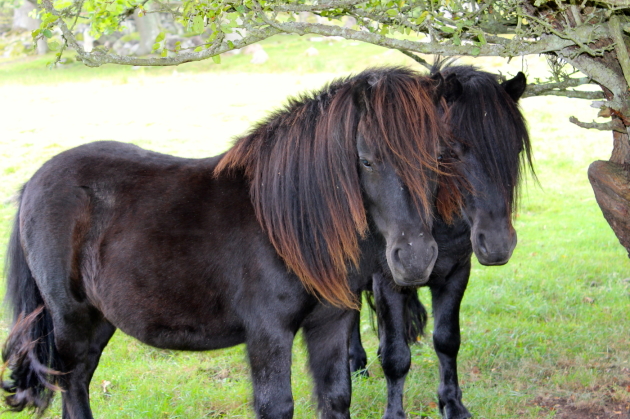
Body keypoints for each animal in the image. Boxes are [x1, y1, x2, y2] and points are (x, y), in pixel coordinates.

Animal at [0, 69, 456, 419]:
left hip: (99, 320)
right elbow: (277, 406)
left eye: (437, 156)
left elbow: (336, 398)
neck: (289, 226)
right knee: (72, 385)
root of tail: (34, 181)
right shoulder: (268, 334)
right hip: (69, 318)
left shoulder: (331, 324)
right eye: (366, 160)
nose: (416, 258)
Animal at [348, 63, 536, 419]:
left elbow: (447, 340)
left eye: (516, 148)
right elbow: (396, 356)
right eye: (450, 153)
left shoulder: (455, 273)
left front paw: (452, 404)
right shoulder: (388, 281)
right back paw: (355, 363)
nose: (498, 245)